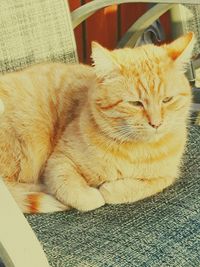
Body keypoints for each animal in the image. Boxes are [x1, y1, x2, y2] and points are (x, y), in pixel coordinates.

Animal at [0, 33, 194, 214]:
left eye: (167, 100)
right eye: (135, 103)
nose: (156, 123)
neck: (135, 151)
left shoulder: (167, 175)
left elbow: (139, 187)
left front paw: (111, 188)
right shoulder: (59, 161)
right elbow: (79, 193)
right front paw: (94, 193)